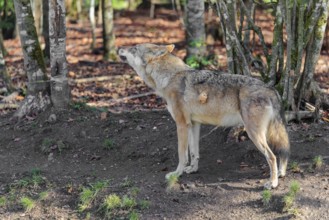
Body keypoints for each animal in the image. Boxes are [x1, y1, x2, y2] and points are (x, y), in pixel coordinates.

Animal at [118, 43, 290, 189]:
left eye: (134, 48)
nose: (119, 48)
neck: (169, 77)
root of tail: (271, 89)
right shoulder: (193, 124)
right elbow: (194, 152)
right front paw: (192, 169)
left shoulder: (181, 124)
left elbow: (182, 154)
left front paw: (176, 174)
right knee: (282, 151)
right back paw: (281, 174)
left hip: (254, 134)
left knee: (272, 156)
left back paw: (272, 183)